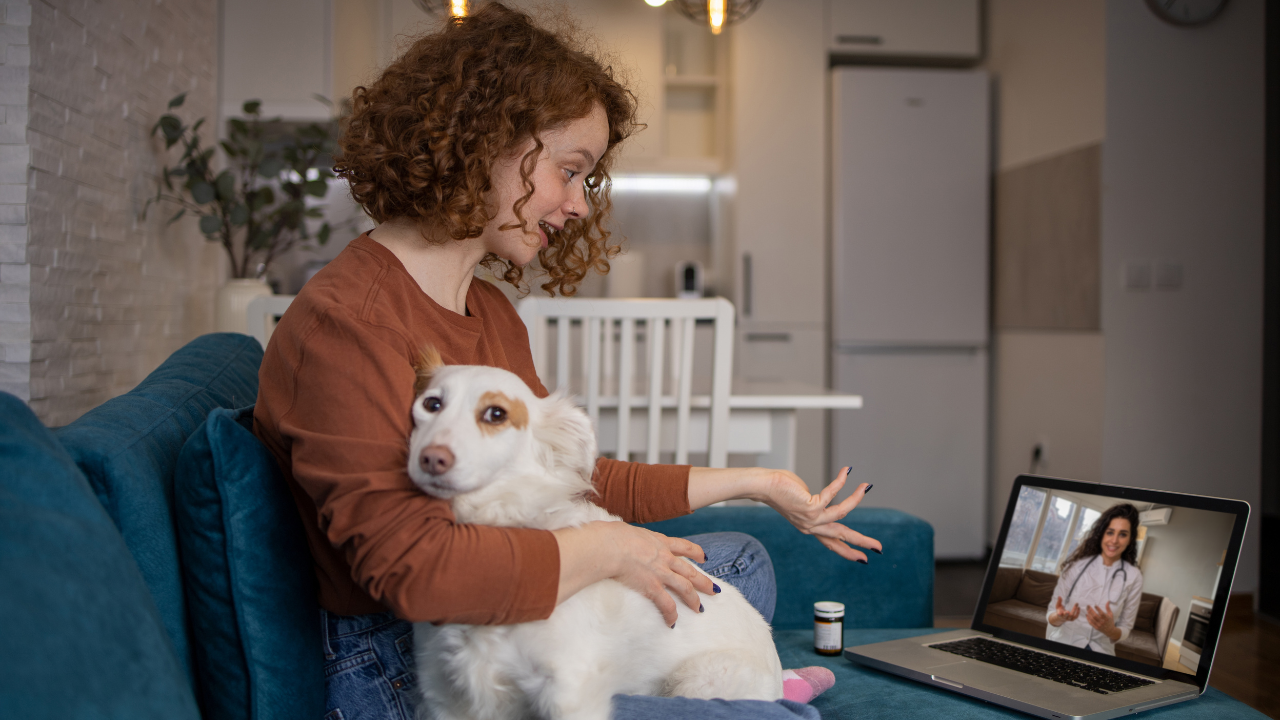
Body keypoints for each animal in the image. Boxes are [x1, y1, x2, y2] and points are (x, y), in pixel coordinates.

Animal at [404, 351, 783, 717]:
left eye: (496, 413)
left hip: (700, 679)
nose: (431, 458)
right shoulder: (443, 693)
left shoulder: (569, 690)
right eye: (431, 404)